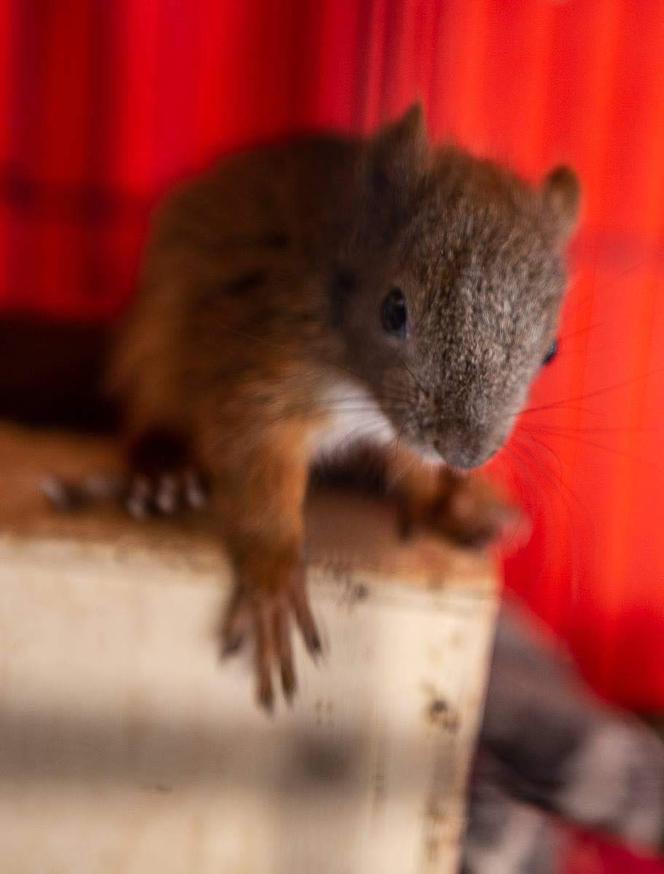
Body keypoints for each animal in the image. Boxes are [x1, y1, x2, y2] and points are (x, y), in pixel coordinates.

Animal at [74, 104, 576, 708]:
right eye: (393, 310)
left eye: (551, 351)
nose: (464, 453)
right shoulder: (272, 362)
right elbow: (256, 450)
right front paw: (272, 576)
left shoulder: (402, 436)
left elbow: (412, 468)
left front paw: (447, 502)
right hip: (156, 335)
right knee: (153, 400)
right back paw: (164, 468)